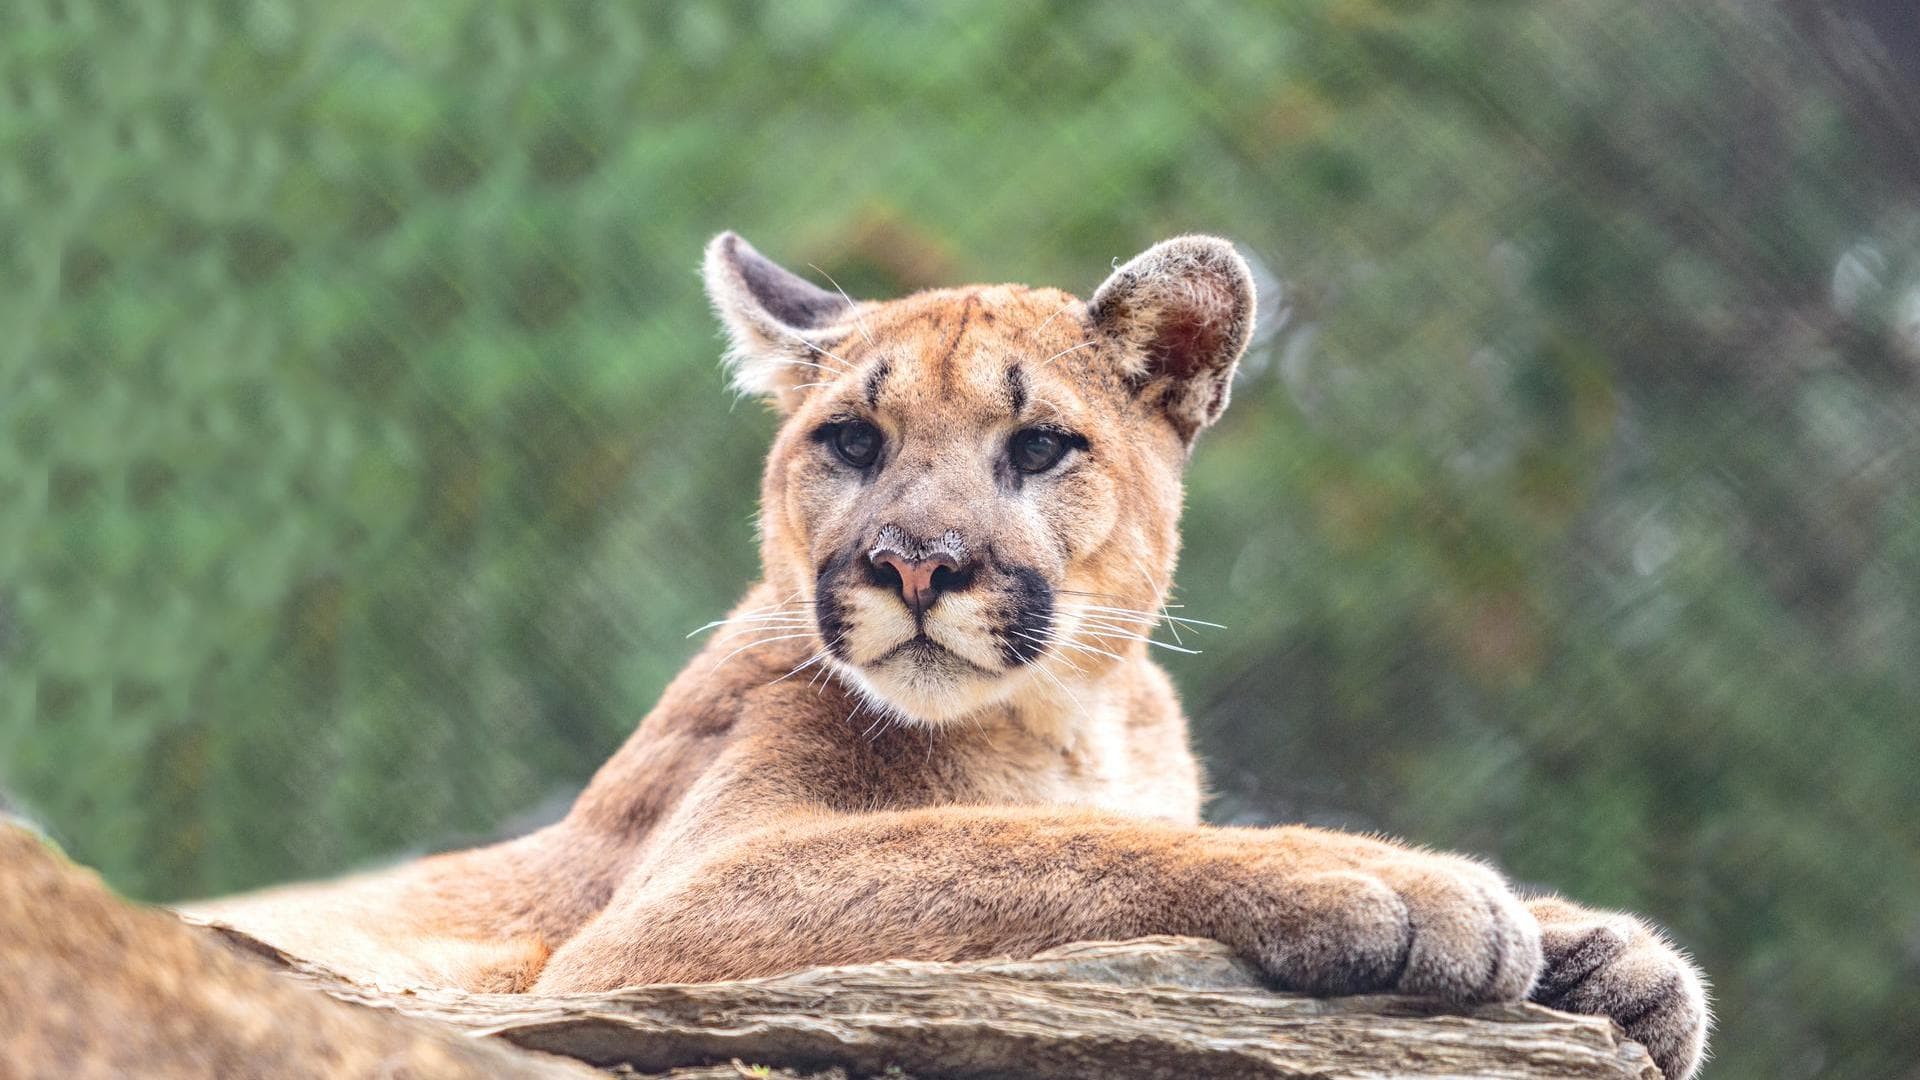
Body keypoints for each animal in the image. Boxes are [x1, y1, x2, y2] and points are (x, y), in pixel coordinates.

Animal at [187, 233, 1710, 1078]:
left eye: (1037, 446)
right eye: (852, 442)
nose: (914, 565)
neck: (1074, 715)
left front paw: (1604, 955)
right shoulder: (662, 911)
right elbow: (1015, 846)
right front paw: (1390, 887)